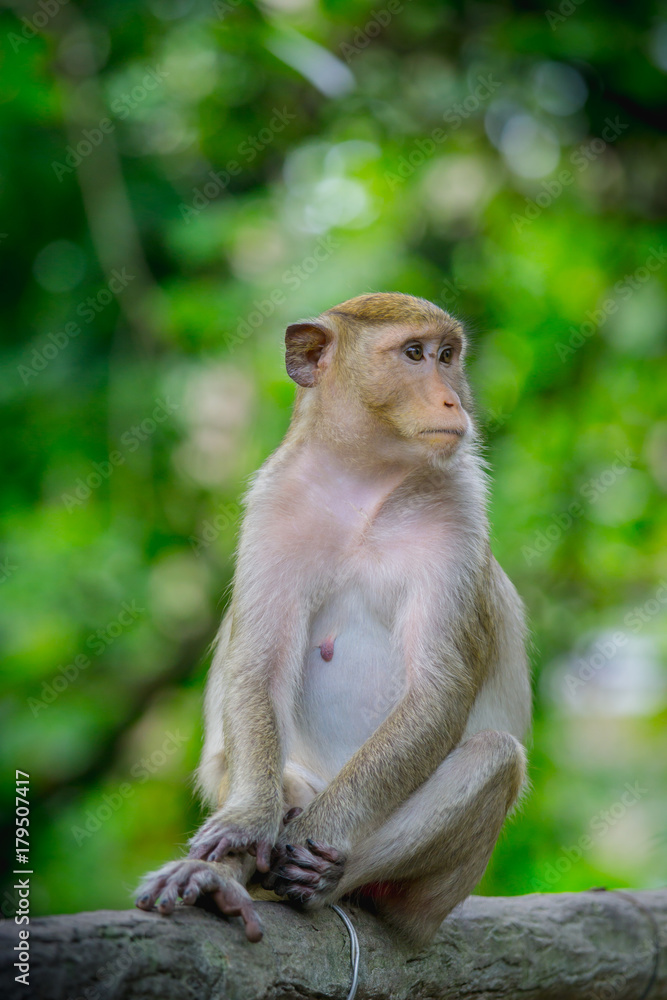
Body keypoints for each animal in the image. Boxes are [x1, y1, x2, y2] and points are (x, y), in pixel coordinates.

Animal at [137, 292, 532, 948]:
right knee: (280, 775)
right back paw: (220, 880)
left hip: (428, 900)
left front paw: (295, 842)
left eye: (448, 356)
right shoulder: (274, 504)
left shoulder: (460, 509)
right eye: (415, 354)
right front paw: (249, 825)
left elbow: (440, 689)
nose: (453, 400)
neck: (365, 485)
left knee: (494, 757)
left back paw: (320, 876)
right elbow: (258, 665)